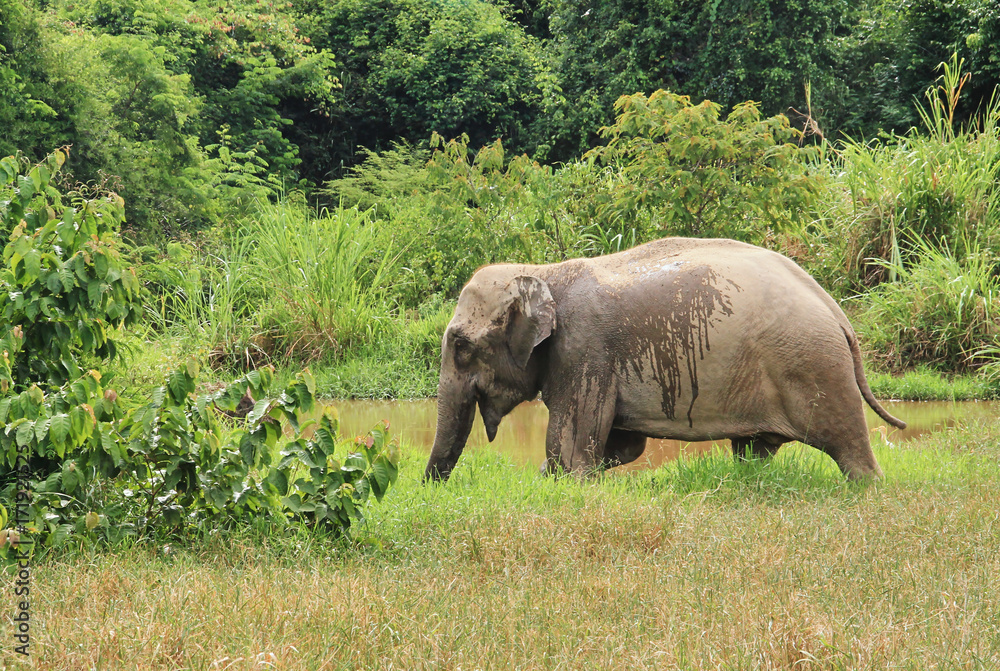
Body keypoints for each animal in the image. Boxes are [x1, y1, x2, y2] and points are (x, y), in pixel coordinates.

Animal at [422, 236, 908, 484]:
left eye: (461, 347)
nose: (432, 488)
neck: (545, 272)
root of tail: (838, 314)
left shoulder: (583, 351)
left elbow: (570, 447)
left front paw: (558, 478)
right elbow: (624, 445)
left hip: (814, 365)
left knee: (847, 443)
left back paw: (868, 490)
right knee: (753, 451)